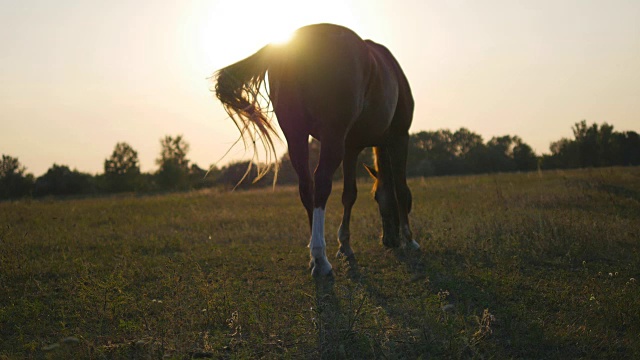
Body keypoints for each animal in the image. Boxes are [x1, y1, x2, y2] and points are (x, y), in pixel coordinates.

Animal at [212, 23, 420, 276]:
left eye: (375, 197)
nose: (389, 240)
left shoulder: (351, 147)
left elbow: (349, 194)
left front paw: (345, 245)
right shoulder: (399, 137)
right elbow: (400, 189)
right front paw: (409, 240)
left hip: (297, 136)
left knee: (306, 186)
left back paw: (315, 255)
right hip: (332, 137)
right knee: (320, 182)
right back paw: (320, 258)